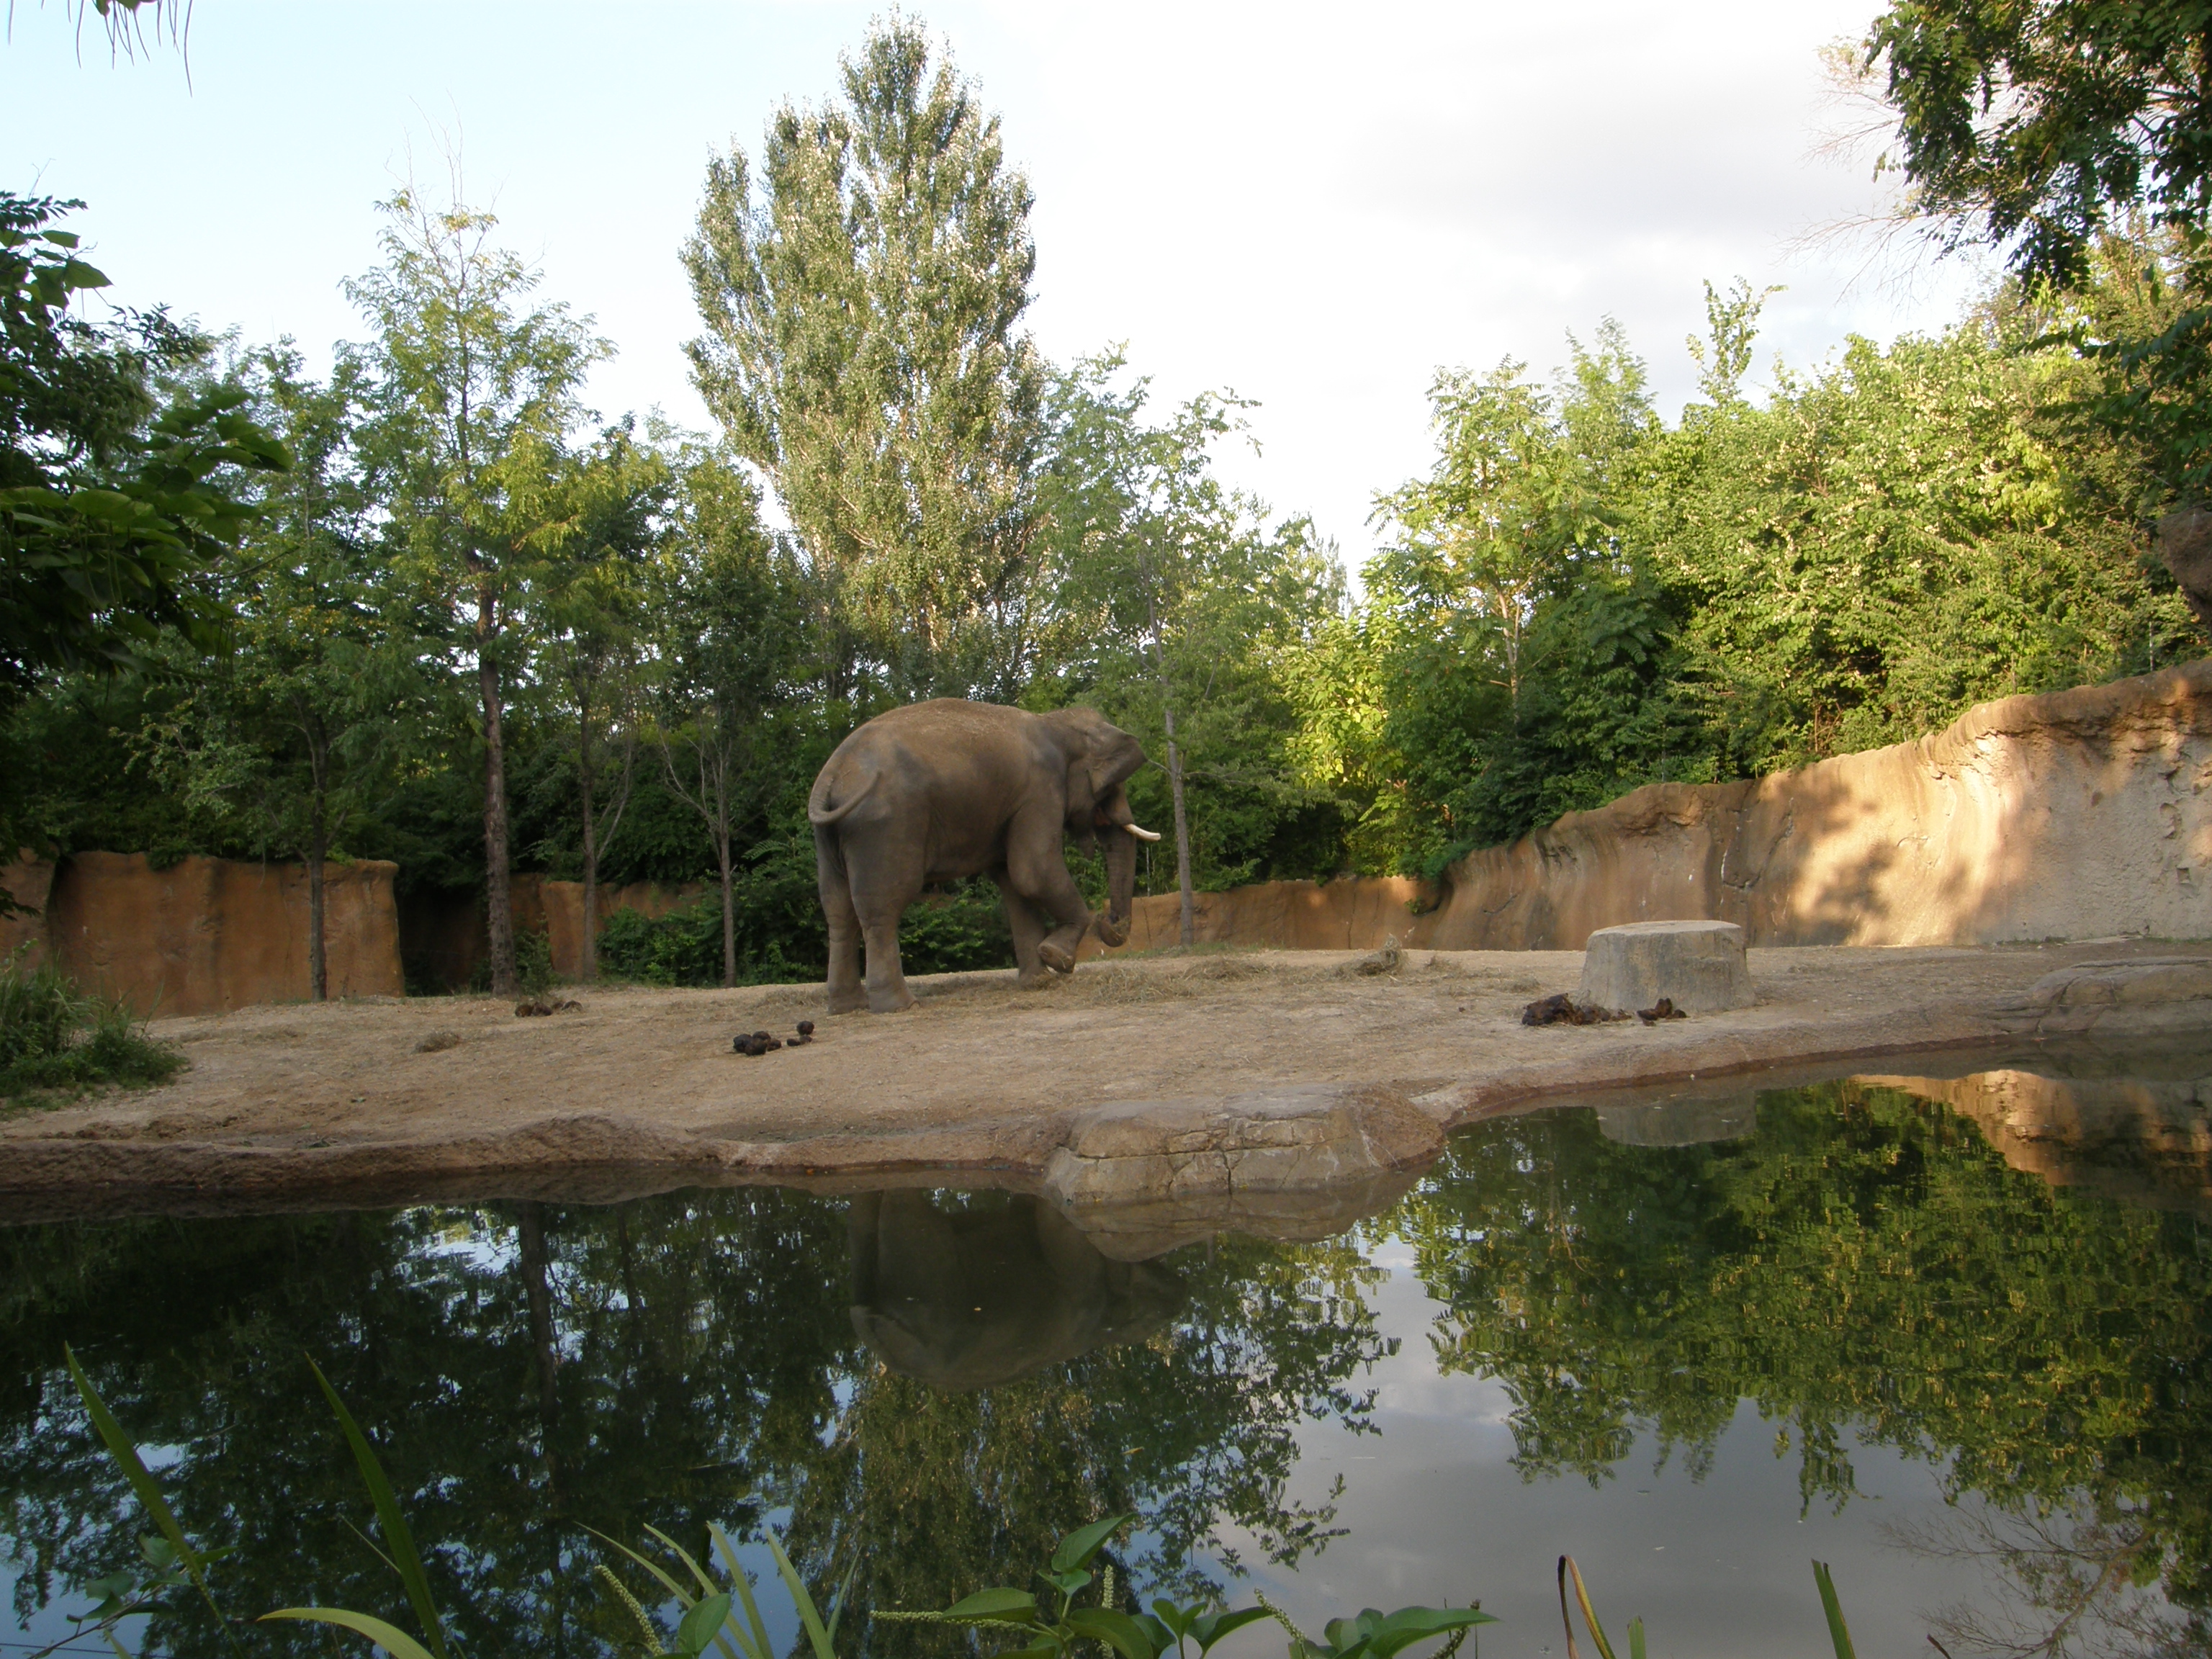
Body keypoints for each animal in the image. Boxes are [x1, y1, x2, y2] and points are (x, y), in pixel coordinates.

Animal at [808, 698, 1158, 1013]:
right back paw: (901, 1006)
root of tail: (832, 775)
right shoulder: (1040, 791)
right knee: (882, 908)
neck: (1056, 721)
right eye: (1111, 788)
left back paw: (846, 1007)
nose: (1108, 923)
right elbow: (1034, 871)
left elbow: (1014, 883)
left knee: (838, 910)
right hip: (886, 826)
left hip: (831, 838)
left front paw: (1038, 981)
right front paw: (1057, 958)